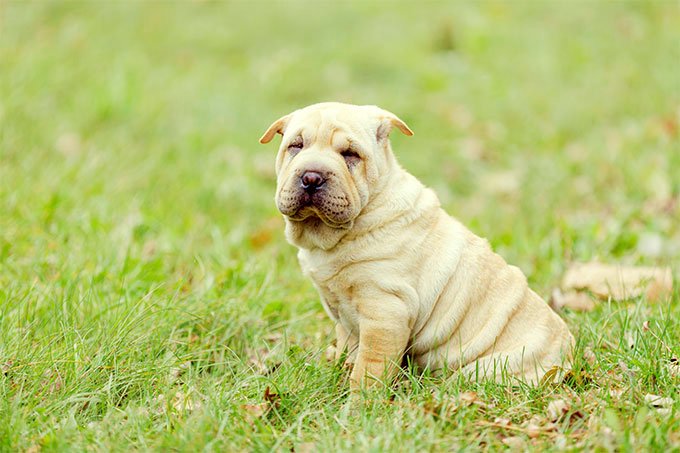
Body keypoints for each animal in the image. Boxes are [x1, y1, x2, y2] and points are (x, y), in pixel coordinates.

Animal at [260, 102, 572, 388]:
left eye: (350, 154)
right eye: (296, 146)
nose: (311, 177)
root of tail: (568, 359)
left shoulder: (386, 311)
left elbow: (370, 368)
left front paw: (359, 402)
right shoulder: (346, 316)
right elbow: (348, 348)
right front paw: (337, 373)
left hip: (486, 369)